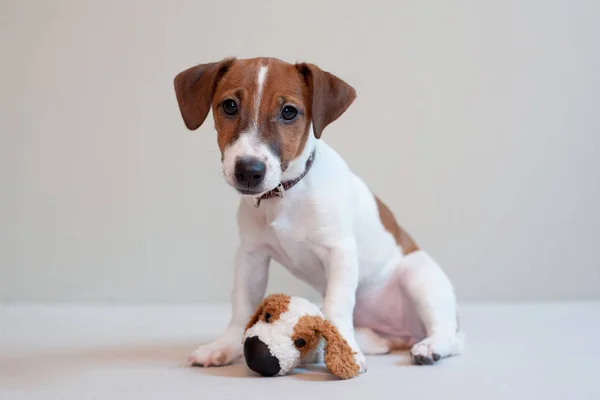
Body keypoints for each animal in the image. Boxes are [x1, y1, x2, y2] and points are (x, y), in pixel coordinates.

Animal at [172, 57, 464, 376]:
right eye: (229, 106)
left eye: (289, 111)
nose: (249, 170)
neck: (286, 194)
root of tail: (403, 334)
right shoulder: (251, 256)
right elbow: (242, 306)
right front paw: (224, 346)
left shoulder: (340, 252)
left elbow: (338, 304)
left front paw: (346, 352)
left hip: (418, 278)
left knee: (449, 333)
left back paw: (430, 346)